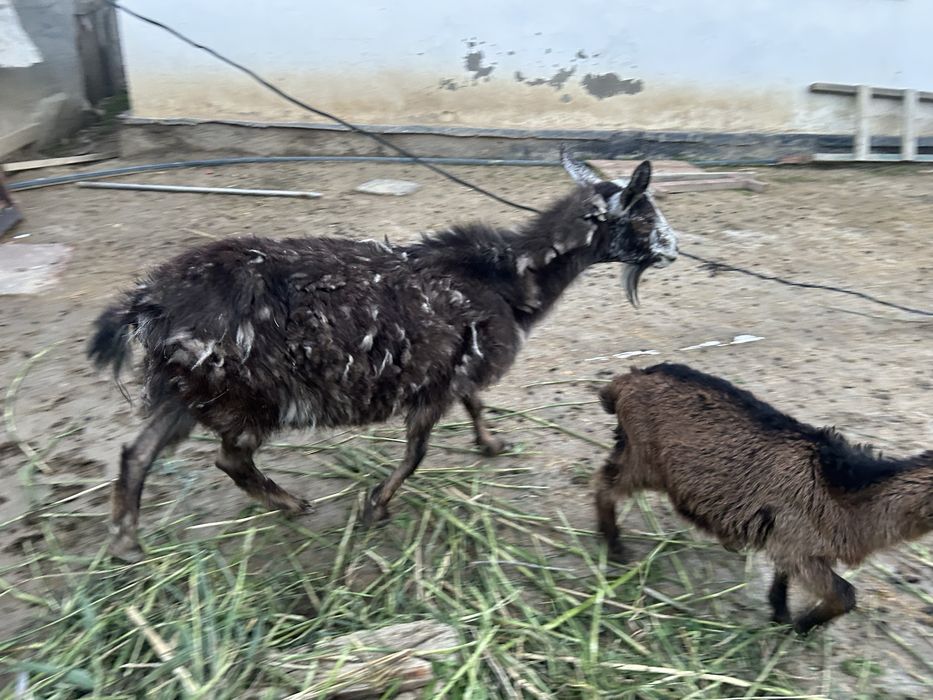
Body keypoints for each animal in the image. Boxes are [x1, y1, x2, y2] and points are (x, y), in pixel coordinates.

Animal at [87, 152, 679, 561]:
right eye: (644, 217)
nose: (674, 249)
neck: (505, 278)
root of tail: (147, 302)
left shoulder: (455, 368)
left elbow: (475, 404)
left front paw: (490, 444)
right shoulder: (436, 383)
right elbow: (418, 452)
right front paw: (377, 506)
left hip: (186, 390)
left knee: (136, 453)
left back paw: (126, 545)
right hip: (247, 396)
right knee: (229, 458)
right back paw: (290, 504)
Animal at [595, 362, 933, 633]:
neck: (843, 490)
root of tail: (629, 379)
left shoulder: (787, 539)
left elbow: (783, 579)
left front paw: (780, 613)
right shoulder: (799, 546)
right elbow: (844, 594)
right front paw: (801, 626)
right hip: (643, 458)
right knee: (603, 484)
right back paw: (615, 547)